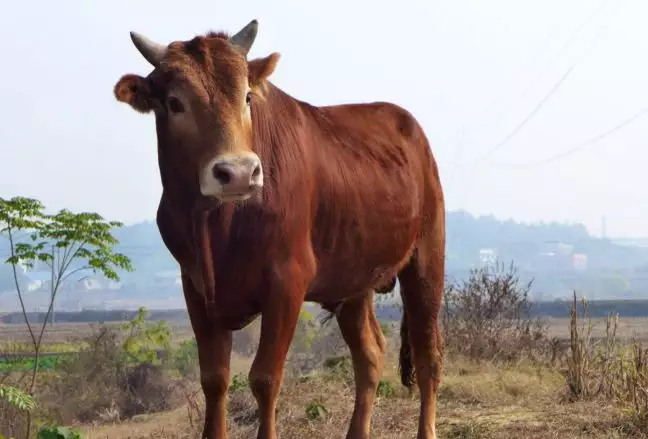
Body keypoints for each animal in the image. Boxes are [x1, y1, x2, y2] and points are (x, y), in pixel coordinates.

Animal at [112, 18, 446, 438]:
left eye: (246, 98)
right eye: (175, 103)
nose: (238, 172)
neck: (219, 225)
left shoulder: (288, 282)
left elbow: (265, 378)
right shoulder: (196, 286)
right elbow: (214, 379)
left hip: (426, 260)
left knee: (427, 354)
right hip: (353, 281)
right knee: (370, 354)